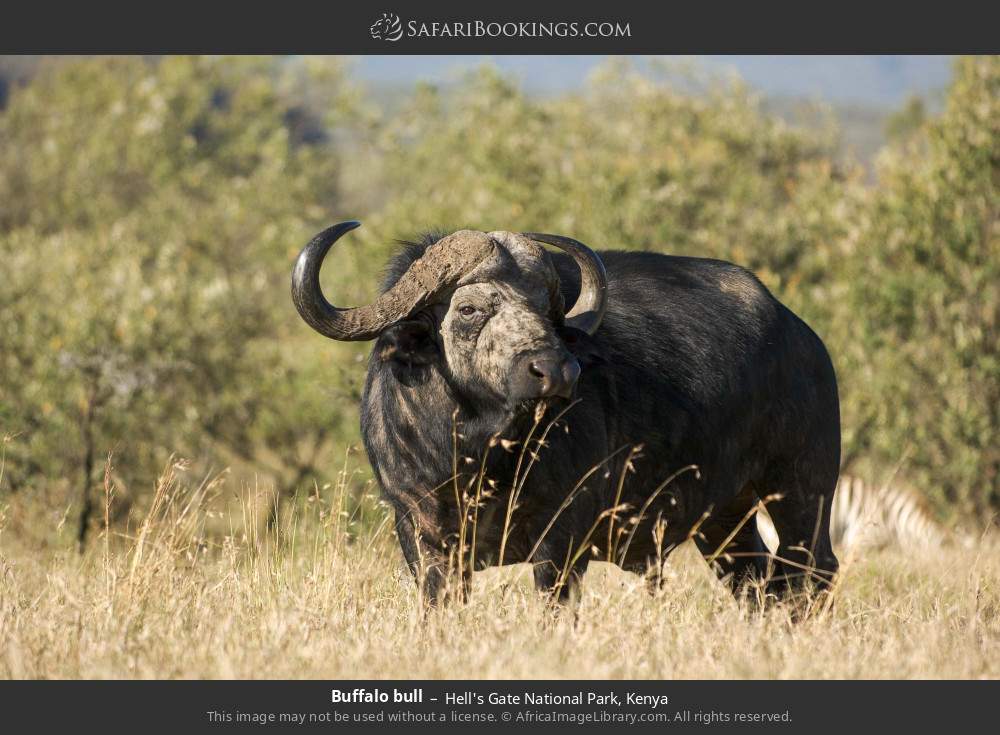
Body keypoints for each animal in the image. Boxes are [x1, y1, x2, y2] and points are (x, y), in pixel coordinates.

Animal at [292, 221, 841, 606]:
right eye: (470, 309)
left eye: (546, 311)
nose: (556, 370)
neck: (478, 456)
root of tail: (801, 336)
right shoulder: (420, 533)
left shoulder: (562, 536)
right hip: (725, 518)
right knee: (757, 580)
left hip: (802, 490)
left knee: (811, 571)